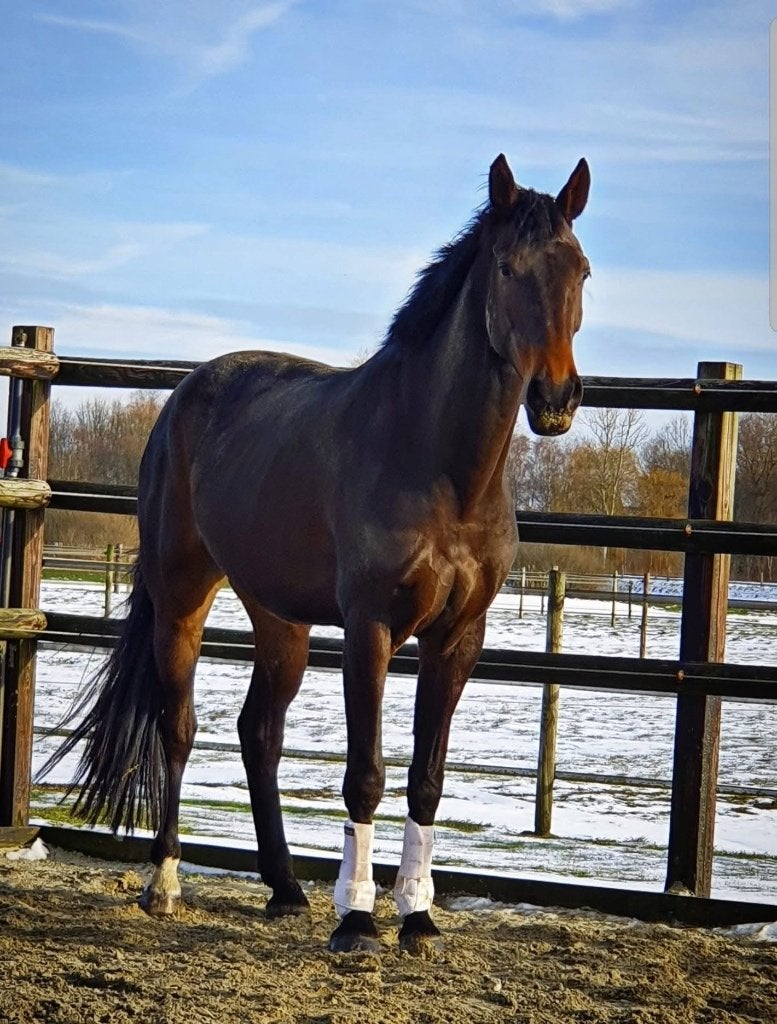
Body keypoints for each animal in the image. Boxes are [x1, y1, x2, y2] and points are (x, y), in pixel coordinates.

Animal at [43, 153, 591, 954]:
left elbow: (427, 777)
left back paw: (283, 887)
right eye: (506, 267)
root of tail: (182, 397)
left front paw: (417, 918)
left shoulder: (458, 638)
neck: (439, 464)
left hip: (280, 620)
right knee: (179, 728)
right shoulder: (370, 628)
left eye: (580, 269)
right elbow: (365, 773)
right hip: (181, 598)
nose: (555, 398)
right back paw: (165, 882)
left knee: (258, 734)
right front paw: (358, 922)